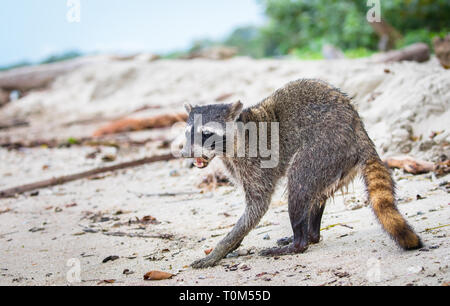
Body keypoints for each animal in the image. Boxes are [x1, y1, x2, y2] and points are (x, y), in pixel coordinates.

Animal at [179, 79, 422, 268]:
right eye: (188, 133)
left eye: (206, 134)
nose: (185, 153)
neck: (235, 138)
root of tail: (358, 129)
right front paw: (232, 244)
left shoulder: (255, 163)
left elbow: (257, 207)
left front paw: (222, 247)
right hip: (335, 164)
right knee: (315, 195)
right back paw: (311, 234)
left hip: (324, 147)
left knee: (298, 184)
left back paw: (298, 242)